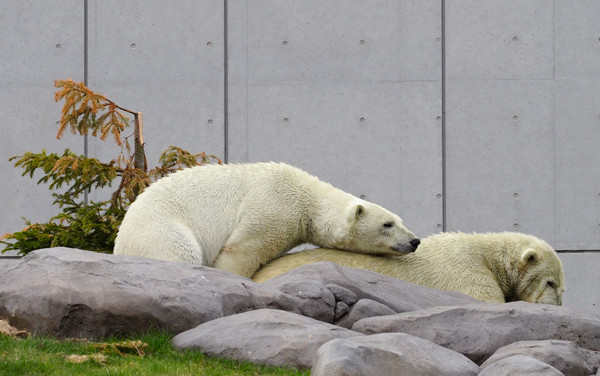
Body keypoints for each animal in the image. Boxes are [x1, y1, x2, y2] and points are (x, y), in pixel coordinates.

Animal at [113, 162, 422, 276]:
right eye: (387, 224)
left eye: (400, 219)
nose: (415, 241)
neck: (307, 195)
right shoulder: (274, 204)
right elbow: (243, 250)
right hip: (161, 230)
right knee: (180, 251)